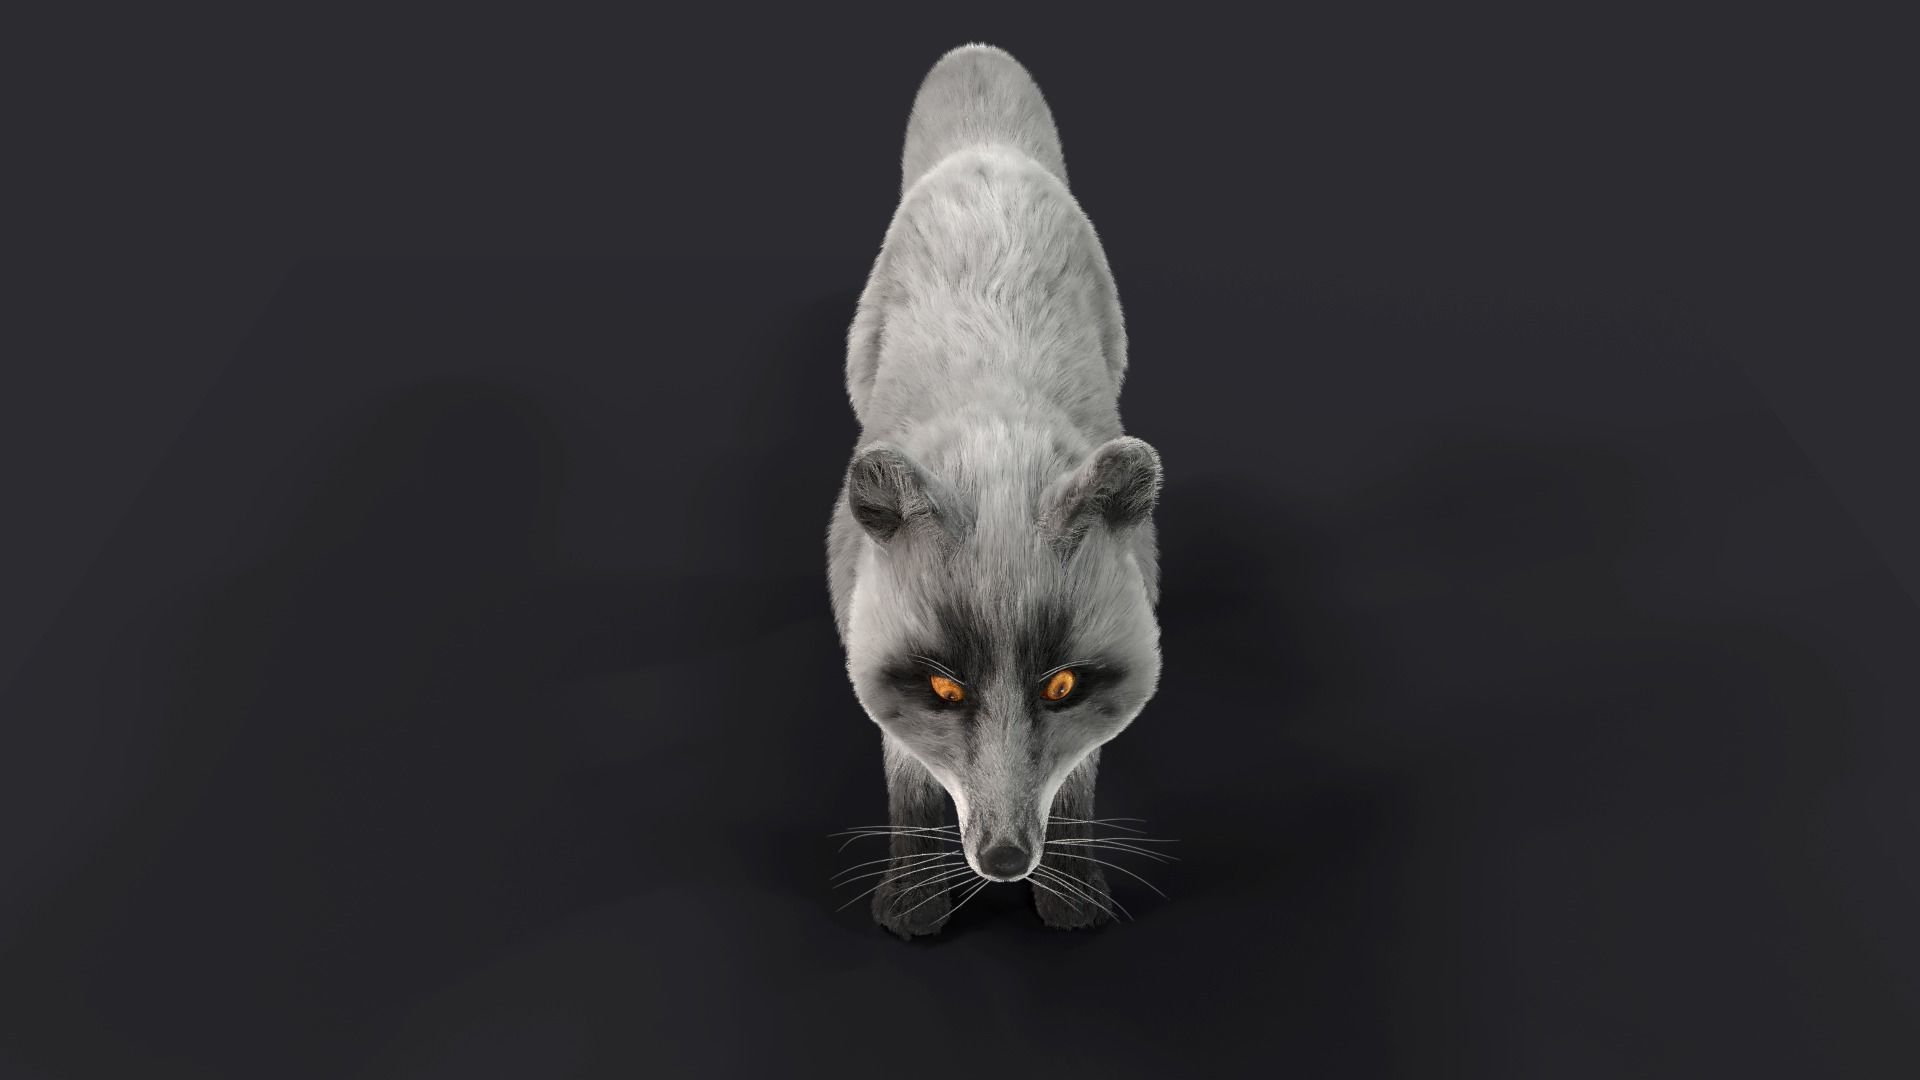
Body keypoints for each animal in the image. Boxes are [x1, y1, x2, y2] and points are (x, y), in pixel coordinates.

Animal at [827, 43, 1166, 937]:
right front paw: (914, 900)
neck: (997, 449)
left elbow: (1077, 776)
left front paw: (1072, 894)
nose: (1007, 862)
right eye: (943, 688)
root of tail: (989, 150)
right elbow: (910, 776)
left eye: (1063, 686)